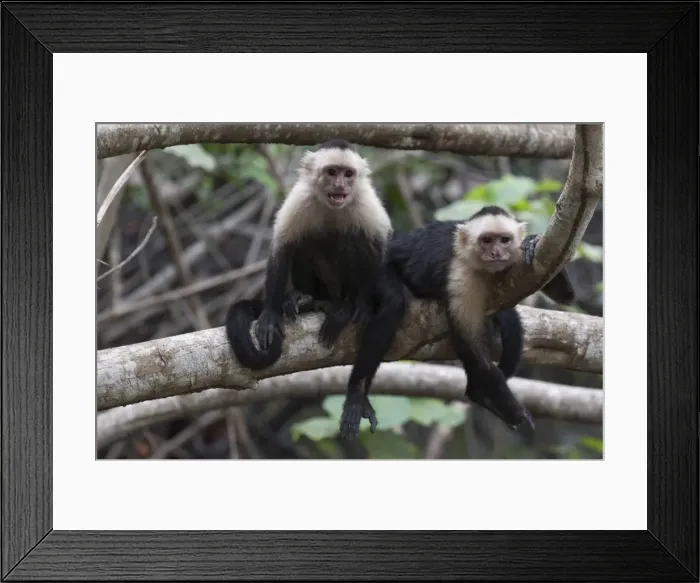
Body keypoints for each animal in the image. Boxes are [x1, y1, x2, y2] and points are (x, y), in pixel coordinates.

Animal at [225, 139, 407, 440]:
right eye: (331, 172)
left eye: (348, 174)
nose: (340, 186)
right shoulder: (300, 200)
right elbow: (282, 246)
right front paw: (270, 314)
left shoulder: (366, 203)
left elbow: (379, 245)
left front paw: (363, 305)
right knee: (308, 240)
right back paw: (311, 301)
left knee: (353, 239)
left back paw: (344, 308)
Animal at [386, 204, 574, 434]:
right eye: (486, 240)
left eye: (504, 240)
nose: (496, 253)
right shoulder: (462, 278)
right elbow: (477, 354)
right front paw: (517, 414)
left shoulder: (518, 260)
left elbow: (565, 295)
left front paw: (532, 241)